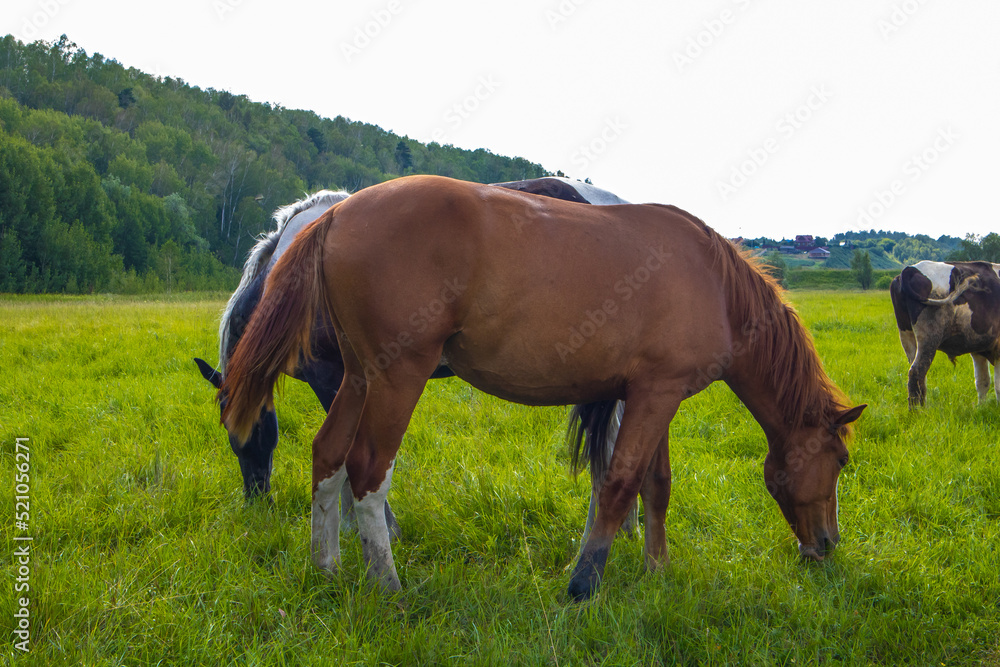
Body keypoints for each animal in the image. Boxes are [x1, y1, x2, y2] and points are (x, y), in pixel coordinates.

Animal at [892, 260, 1000, 408]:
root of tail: (911, 269)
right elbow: (997, 386)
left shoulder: (979, 348)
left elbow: (983, 382)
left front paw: (981, 408)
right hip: (929, 336)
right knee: (916, 372)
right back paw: (917, 411)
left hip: (907, 336)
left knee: (919, 377)